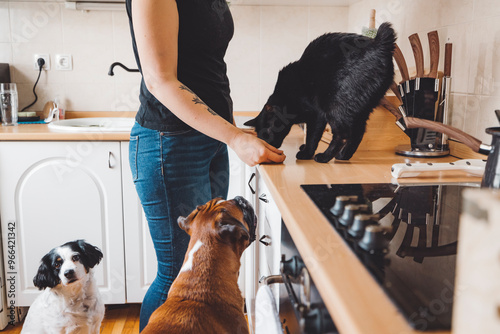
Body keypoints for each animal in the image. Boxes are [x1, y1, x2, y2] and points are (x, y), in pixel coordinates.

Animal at [244, 22, 396, 163]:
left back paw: (324, 157)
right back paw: (343, 156)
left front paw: (306, 153)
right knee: (358, 132)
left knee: (342, 134)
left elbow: (312, 137)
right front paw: (304, 148)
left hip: (334, 104)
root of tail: (379, 43)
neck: (285, 98)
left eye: (269, 131)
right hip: (361, 107)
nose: (270, 144)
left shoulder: (316, 115)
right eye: (260, 137)